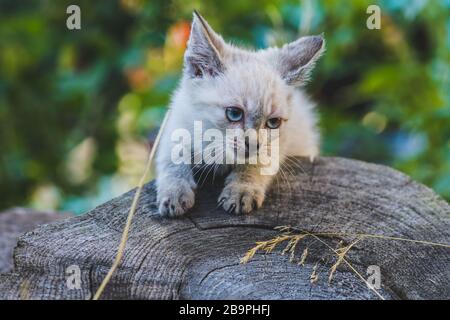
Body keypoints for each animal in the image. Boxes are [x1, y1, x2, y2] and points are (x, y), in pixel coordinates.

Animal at [155, 12, 324, 218]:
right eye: (234, 113)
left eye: (273, 122)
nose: (253, 144)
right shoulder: (175, 125)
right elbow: (173, 158)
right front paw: (174, 193)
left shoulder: (278, 143)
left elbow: (256, 163)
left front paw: (242, 191)